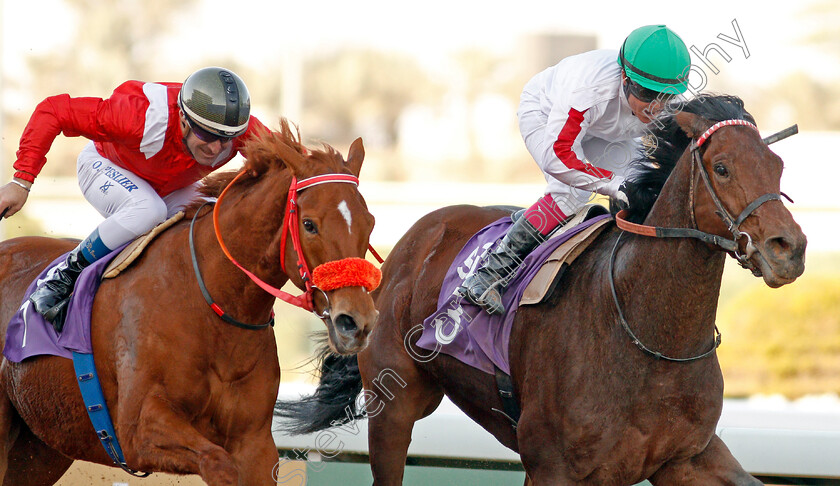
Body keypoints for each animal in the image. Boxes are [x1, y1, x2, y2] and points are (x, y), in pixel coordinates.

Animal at [0, 118, 380, 486]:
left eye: (370, 223)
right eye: (310, 224)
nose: (356, 322)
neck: (211, 307)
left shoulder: (254, 441)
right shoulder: (138, 430)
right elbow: (219, 464)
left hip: (40, 447)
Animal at [278, 96, 808, 486]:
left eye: (778, 164)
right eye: (722, 168)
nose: (790, 249)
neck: (649, 340)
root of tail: (414, 237)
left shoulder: (686, 457)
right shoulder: (555, 467)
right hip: (397, 406)